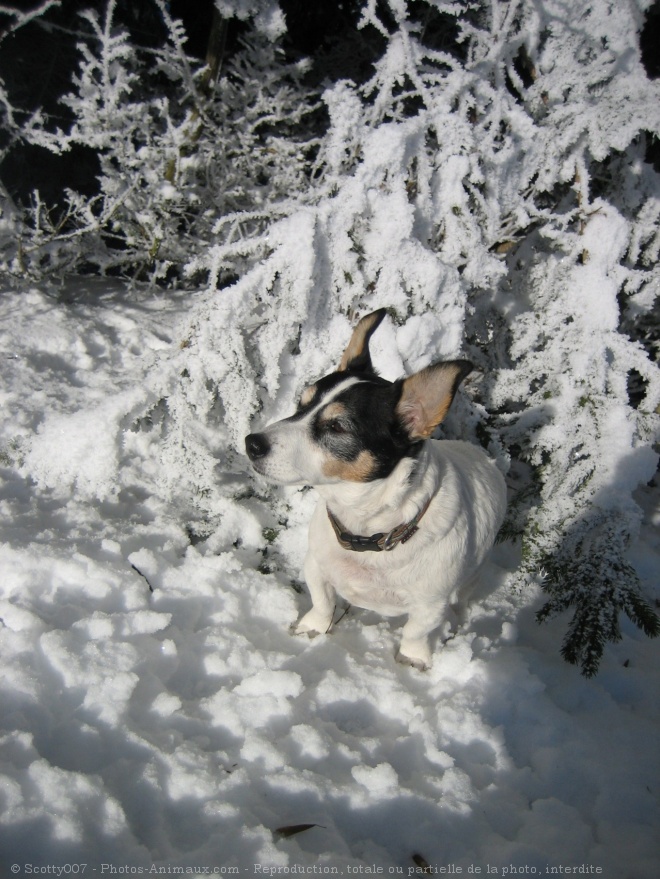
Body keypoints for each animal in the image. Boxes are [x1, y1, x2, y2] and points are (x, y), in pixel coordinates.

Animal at [245, 310, 508, 668]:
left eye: (336, 427)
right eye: (300, 404)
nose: (251, 443)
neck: (366, 531)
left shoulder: (430, 604)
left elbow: (415, 634)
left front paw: (412, 661)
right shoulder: (316, 565)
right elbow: (322, 602)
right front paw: (313, 628)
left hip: (472, 576)